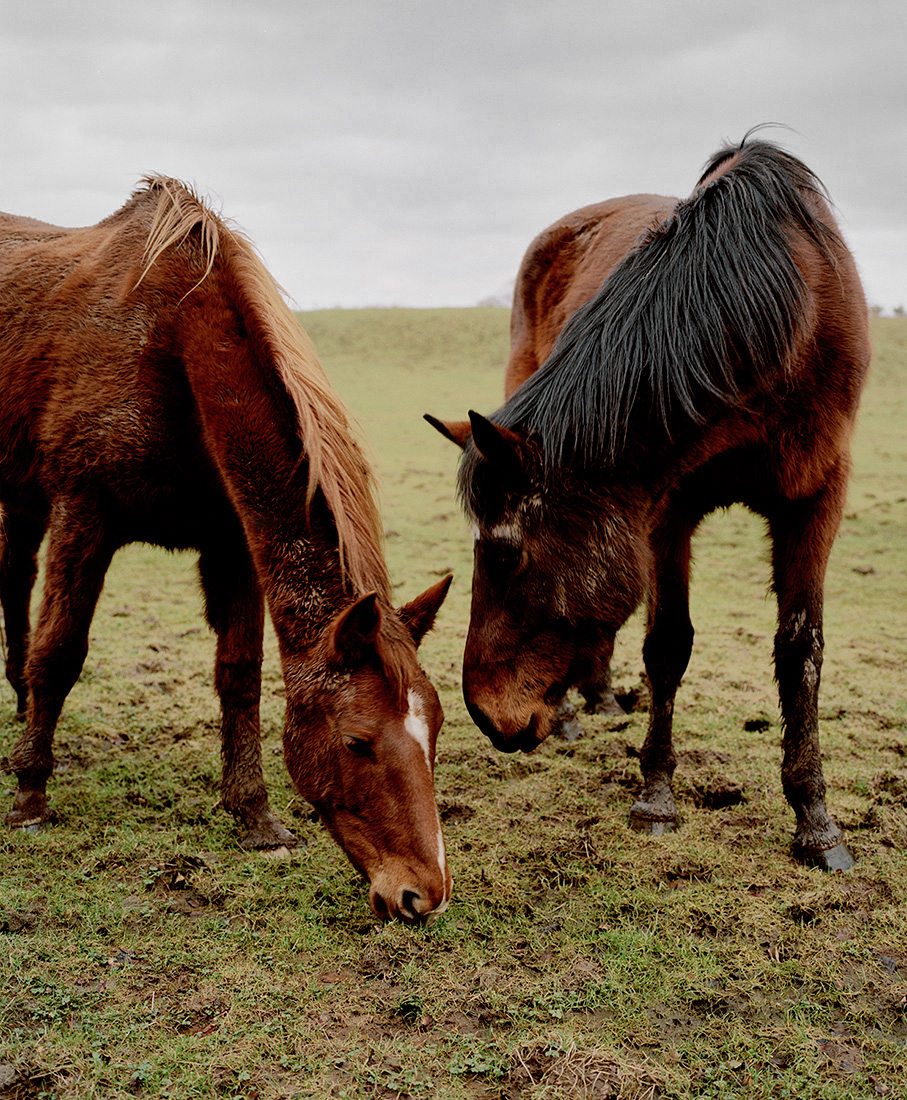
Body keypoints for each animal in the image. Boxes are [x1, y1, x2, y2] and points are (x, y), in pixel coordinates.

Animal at [0, 177, 453, 922]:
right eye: (357, 742)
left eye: (436, 731)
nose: (422, 894)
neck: (169, 340)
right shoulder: (82, 512)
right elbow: (60, 651)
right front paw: (31, 796)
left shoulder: (233, 541)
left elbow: (238, 674)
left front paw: (254, 816)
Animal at [428, 135, 870, 870]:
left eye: (507, 554)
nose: (487, 715)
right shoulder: (667, 507)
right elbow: (667, 645)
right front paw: (656, 797)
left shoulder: (815, 498)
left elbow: (799, 651)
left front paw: (816, 820)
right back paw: (575, 713)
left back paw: (603, 698)